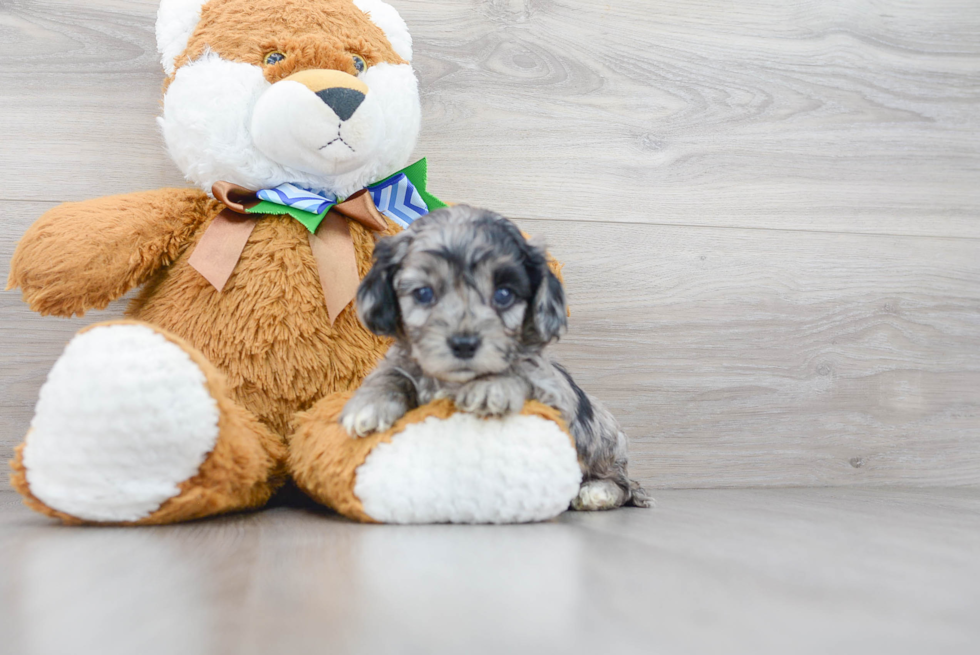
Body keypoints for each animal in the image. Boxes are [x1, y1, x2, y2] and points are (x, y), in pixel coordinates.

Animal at [338, 205, 652, 512]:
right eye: (424, 293)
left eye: (503, 294)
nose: (464, 344)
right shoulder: (404, 361)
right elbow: (390, 374)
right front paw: (369, 403)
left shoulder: (552, 393)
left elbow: (519, 371)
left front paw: (491, 386)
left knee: (622, 486)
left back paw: (597, 492)